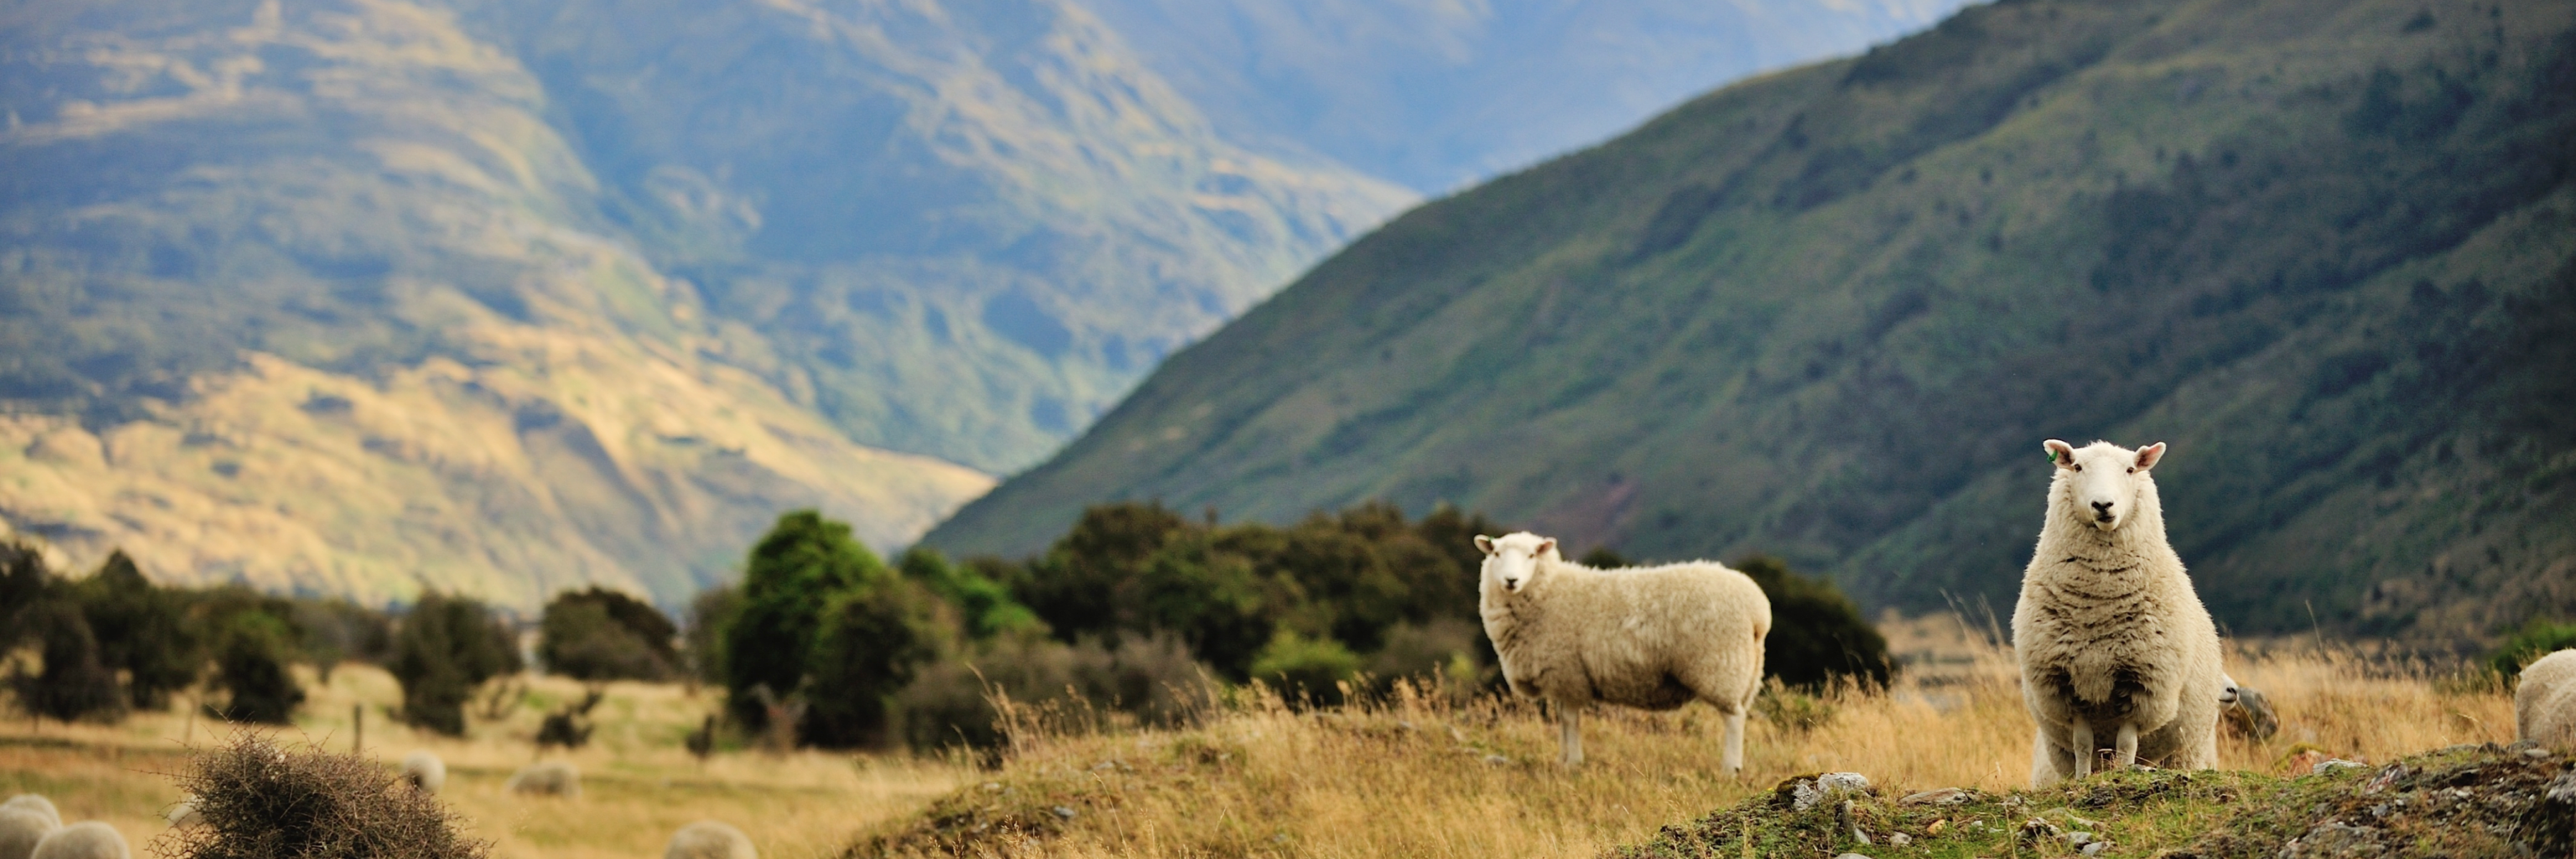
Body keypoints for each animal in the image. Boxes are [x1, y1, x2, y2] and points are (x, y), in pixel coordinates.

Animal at [1473, 531, 1772, 763]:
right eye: (1496, 553)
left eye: (1532, 556)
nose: (1511, 580)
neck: (1548, 592)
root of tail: (1758, 609)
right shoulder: (1561, 679)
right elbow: (1562, 720)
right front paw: (1562, 760)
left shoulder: (1568, 674)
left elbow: (1569, 719)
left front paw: (1573, 763)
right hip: (1747, 669)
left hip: (1722, 665)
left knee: (1733, 718)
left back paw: (1730, 769)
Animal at [2009, 441, 2235, 784]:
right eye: (2077, 467)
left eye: (2130, 469)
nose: (2103, 505)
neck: (2098, 606)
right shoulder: (2068, 687)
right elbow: (2083, 744)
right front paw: (2082, 780)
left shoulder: (2144, 684)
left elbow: (2127, 743)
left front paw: (2126, 773)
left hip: (2186, 748)